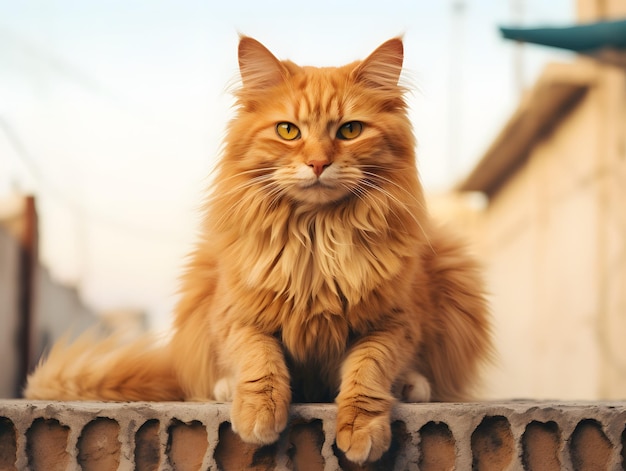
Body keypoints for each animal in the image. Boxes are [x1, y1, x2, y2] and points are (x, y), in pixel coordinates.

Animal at [25, 37, 492, 464]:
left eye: (350, 131)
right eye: (288, 130)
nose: (318, 163)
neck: (316, 238)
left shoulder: (393, 325)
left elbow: (367, 374)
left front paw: (361, 431)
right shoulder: (239, 318)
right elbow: (260, 362)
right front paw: (258, 414)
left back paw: (412, 387)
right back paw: (224, 390)